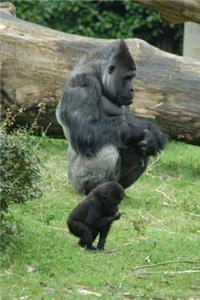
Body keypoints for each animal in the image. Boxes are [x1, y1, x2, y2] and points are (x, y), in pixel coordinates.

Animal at [55, 40, 166, 195]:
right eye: (127, 77)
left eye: (132, 77)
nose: (132, 90)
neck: (99, 74)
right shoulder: (82, 83)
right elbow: (87, 132)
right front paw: (144, 129)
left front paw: (153, 135)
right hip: (75, 181)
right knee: (106, 148)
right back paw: (94, 190)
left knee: (142, 151)